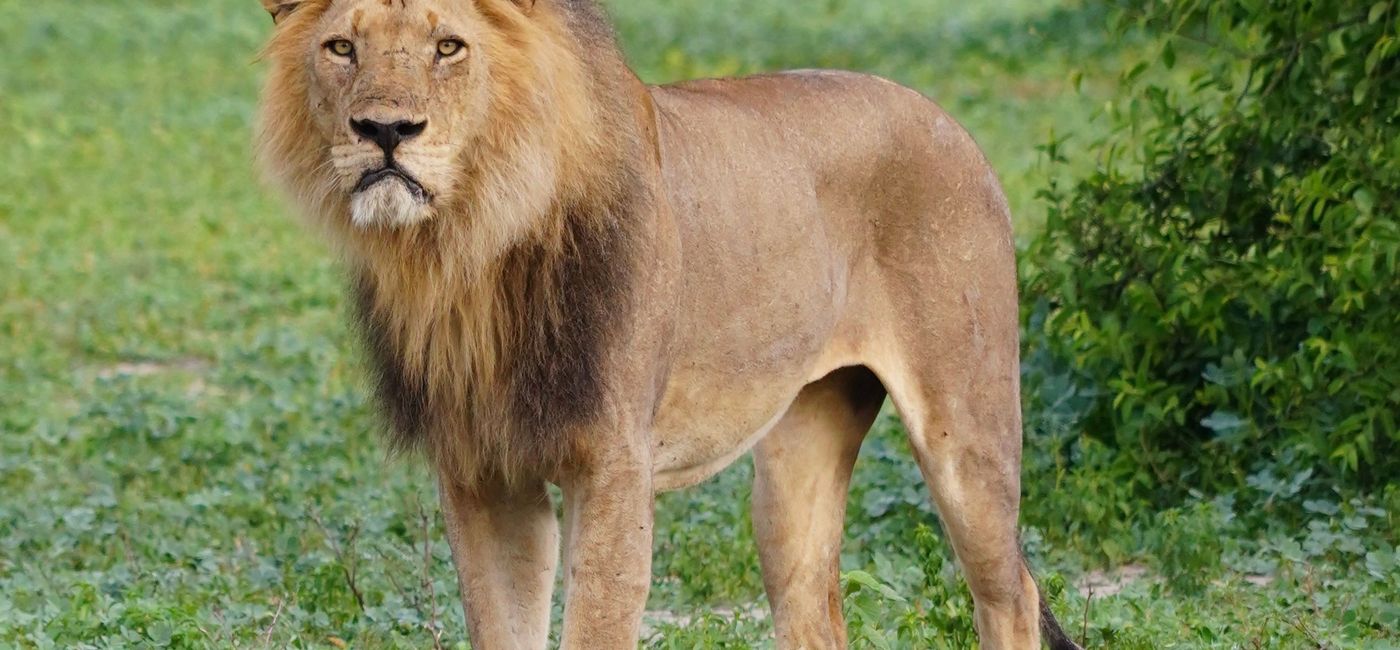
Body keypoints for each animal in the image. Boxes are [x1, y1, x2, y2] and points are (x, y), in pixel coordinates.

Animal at [254, 1, 1081, 648]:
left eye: (448, 46)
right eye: (341, 48)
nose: (384, 130)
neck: (466, 248)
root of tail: (947, 120)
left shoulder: (615, 466)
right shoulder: (482, 475)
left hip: (966, 434)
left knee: (1011, 597)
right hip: (794, 465)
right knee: (816, 610)